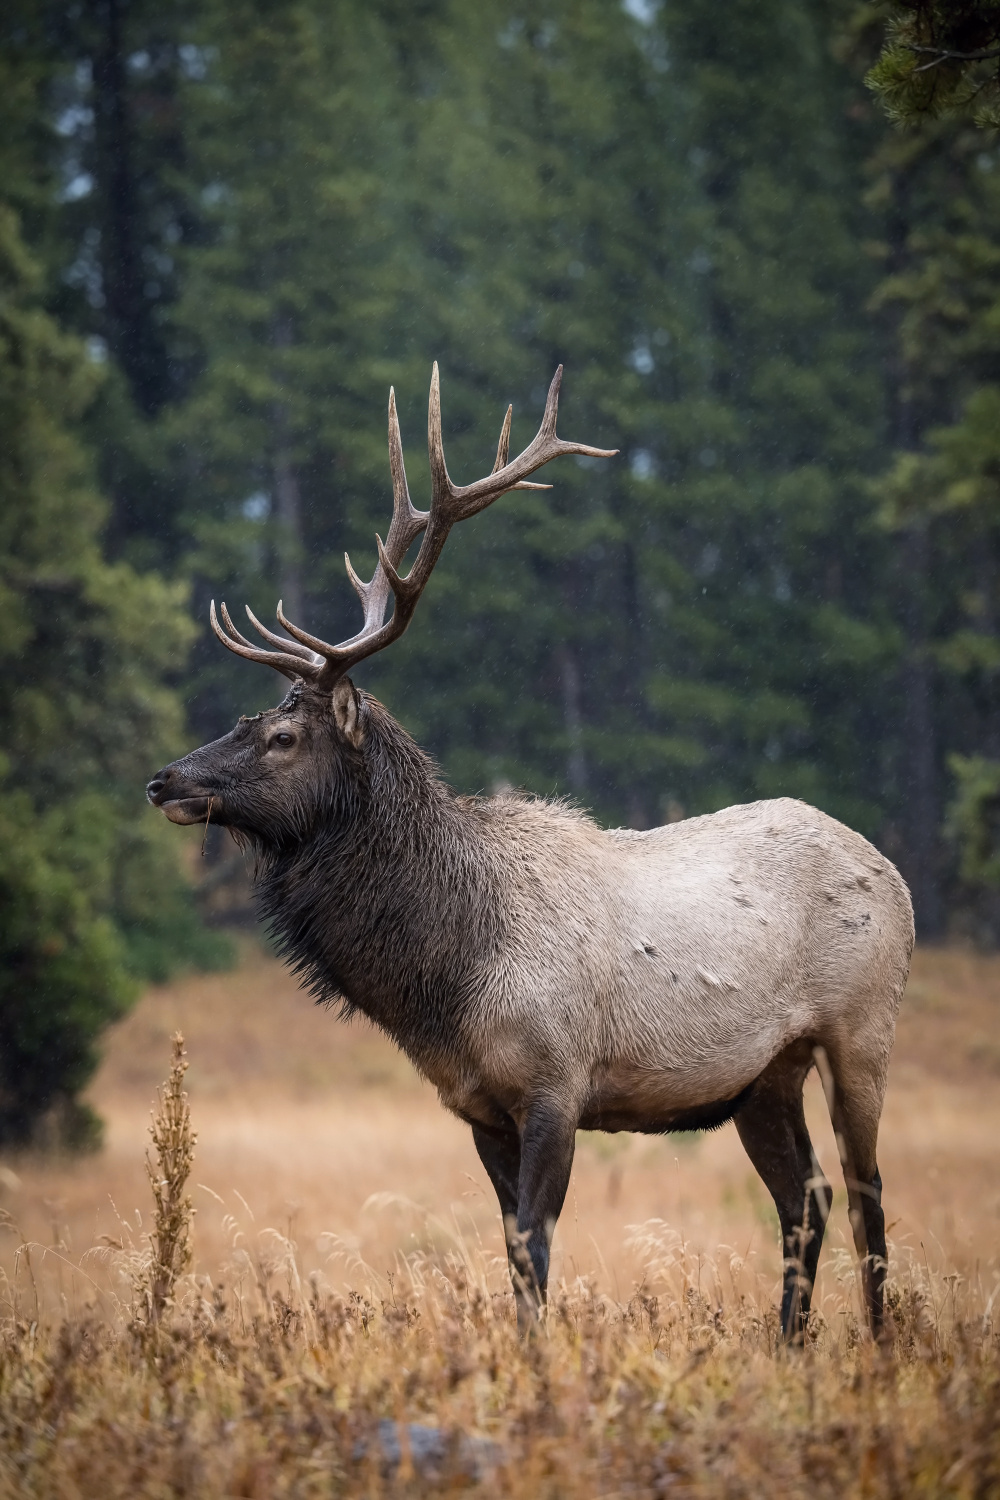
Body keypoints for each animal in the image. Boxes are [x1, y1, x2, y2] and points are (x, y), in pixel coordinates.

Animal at [146, 369, 917, 1344]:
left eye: (282, 736)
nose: (165, 779)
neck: (447, 977)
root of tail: (892, 870)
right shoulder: (476, 1103)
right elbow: (511, 1247)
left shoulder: (558, 1080)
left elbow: (537, 1240)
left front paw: (538, 1361)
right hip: (763, 1075)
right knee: (806, 1197)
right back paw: (789, 1344)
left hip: (864, 1026)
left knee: (866, 1190)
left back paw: (880, 1345)